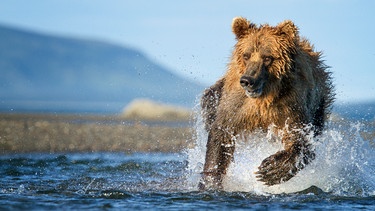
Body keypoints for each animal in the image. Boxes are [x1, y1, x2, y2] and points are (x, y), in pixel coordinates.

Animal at [200, 17, 334, 190]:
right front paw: (211, 182)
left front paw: (270, 170)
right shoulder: (238, 103)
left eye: (267, 57)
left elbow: (302, 138)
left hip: (318, 104)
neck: (264, 98)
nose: (247, 80)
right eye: (246, 55)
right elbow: (221, 134)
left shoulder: (292, 105)